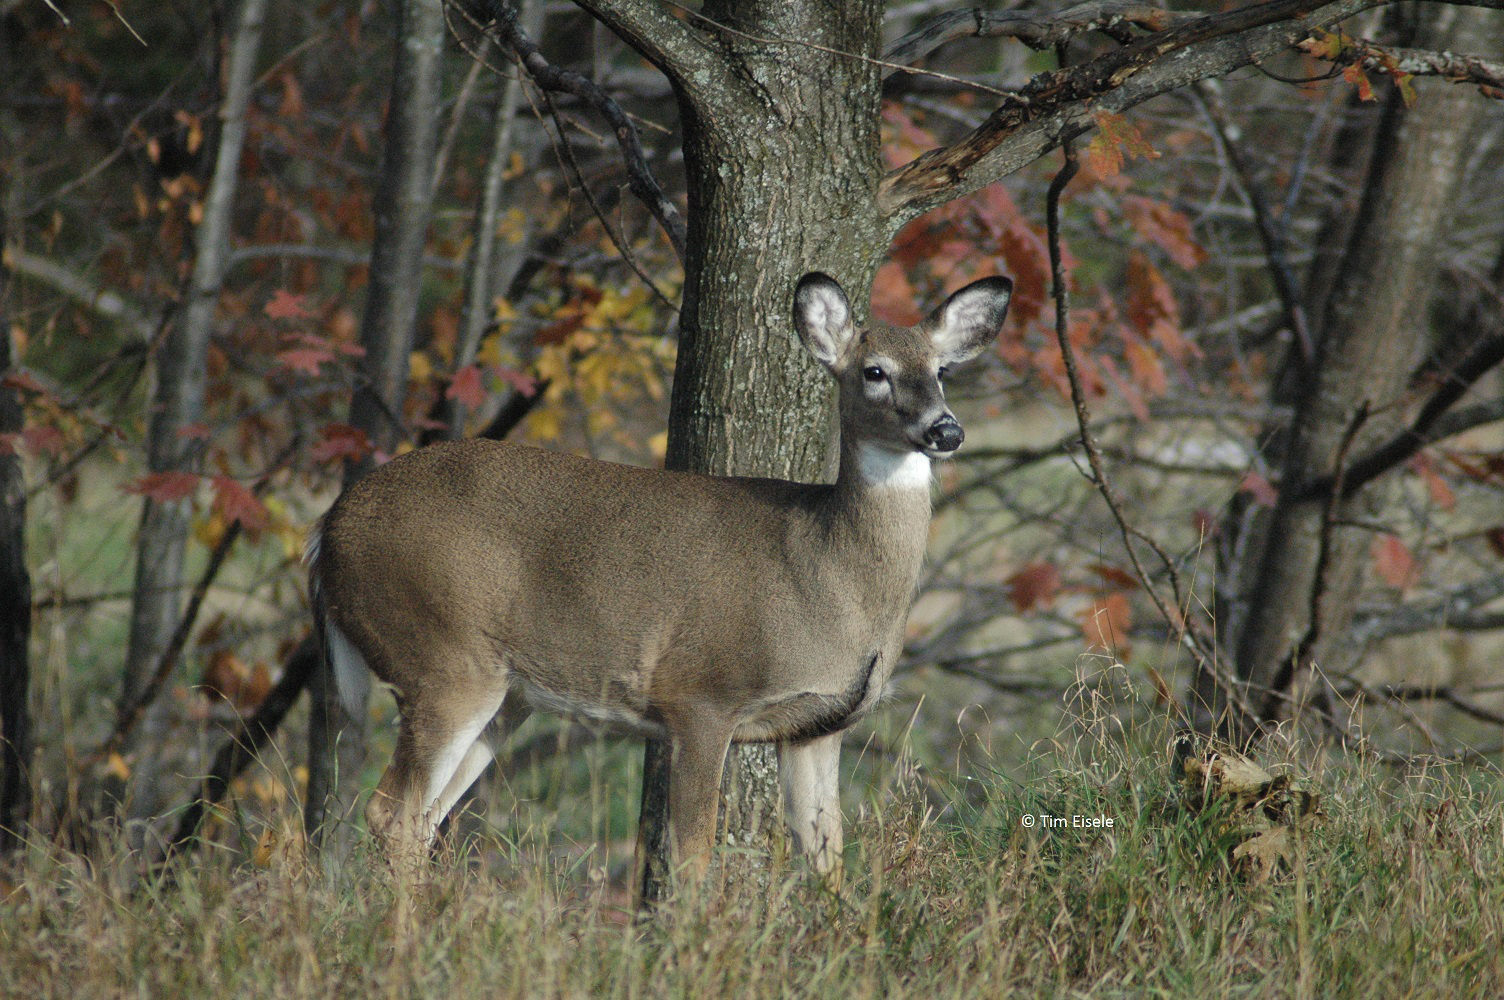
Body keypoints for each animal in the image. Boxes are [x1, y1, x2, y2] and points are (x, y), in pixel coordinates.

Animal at [306, 270, 1012, 886]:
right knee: (392, 813)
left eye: (942, 371)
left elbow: (828, 857)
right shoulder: (700, 694)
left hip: (506, 696)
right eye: (875, 372)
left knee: (426, 817)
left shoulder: (816, 727)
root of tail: (328, 530)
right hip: (443, 658)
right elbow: (690, 856)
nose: (946, 429)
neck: (829, 574)